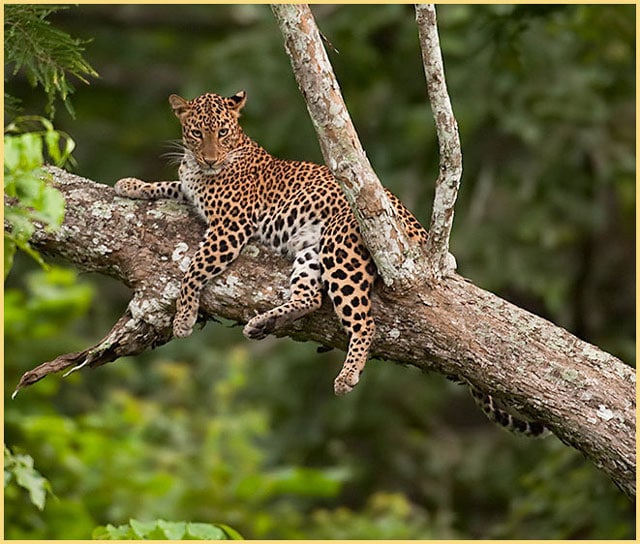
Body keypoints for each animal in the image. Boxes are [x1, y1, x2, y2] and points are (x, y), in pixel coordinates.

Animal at [114, 90, 544, 434]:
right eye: (196, 132)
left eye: (222, 132)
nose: (209, 159)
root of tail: (416, 227)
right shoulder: (192, 191)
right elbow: (169, 185)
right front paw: (131, 185)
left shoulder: (229, 228)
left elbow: (192, 270)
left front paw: (184, 318)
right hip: (312, 251)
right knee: (309, 297)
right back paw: (263, 322)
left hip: (342, 252)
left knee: (364, 322)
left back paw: (347, 374)